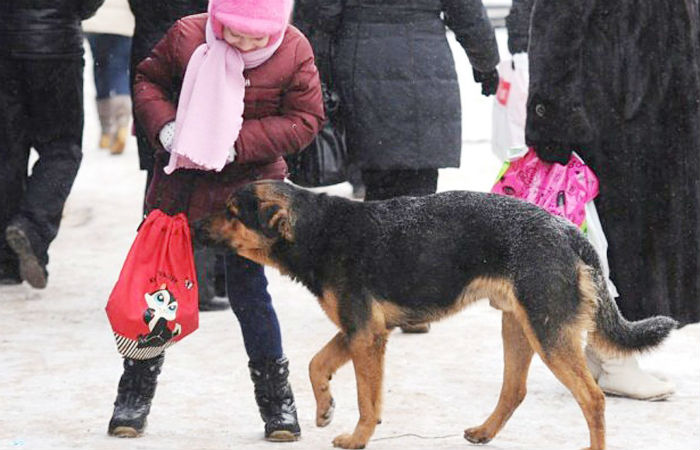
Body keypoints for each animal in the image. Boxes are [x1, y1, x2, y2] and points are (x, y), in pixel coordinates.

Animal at [198, 180, 680, 450]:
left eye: (231, 212)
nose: (193, 225)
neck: (318, 230)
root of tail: (566, 231)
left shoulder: (365, 334)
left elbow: (367, 400)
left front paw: (358, 437)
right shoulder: (360, 330)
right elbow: (318, 364)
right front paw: (324, 408)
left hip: (547, 333)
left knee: (592, 399)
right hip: (519, 327)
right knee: (515, 390)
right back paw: (484, 432)